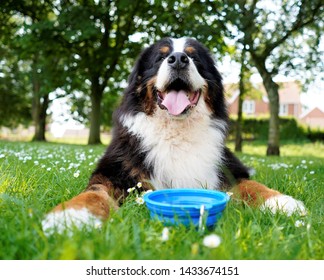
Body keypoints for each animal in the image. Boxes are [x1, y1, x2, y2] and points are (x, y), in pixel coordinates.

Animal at [41, 38, 306, 233]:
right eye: (160, 57)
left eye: (194, 57)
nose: (178, 59)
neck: (177, 132)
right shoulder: (112, 173)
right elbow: (94, 194)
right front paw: (71, 215)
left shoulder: (227, 168)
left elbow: (252, 185)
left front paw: (281, 202)